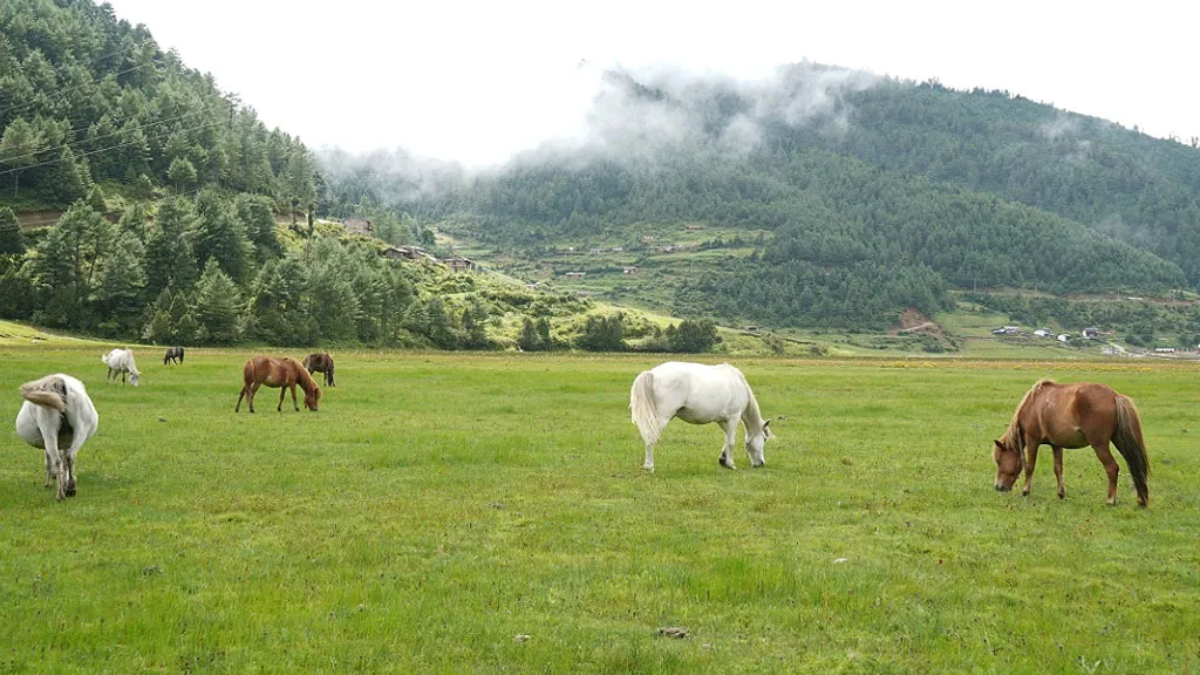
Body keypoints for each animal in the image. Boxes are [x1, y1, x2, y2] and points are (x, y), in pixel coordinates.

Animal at [15, 369, 98, 497]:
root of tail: (60, 382)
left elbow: (49, 461)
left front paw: (49, 482)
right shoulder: (66, 442)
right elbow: (64, 462)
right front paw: (64, 482)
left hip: (49, 432)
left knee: (57, 459)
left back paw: (61, 494)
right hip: (80, 431)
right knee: (70, 457)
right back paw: (69, 489)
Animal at [633, 360, 772, 470]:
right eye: (765, 439)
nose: (761, 463)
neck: (738, 382)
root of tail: (652, 373)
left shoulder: (722, 421)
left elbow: (726, 439)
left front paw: (723, 460)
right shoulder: (734, 417)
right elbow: (731, 441)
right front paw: (731, 464)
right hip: (662, 419)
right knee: (651, 437)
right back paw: (649, 467)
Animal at [993, 379, 1152, 504]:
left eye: (999, 461)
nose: (998, 487)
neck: (1033, 404)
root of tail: (1114, 396)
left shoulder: (1033, 440)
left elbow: (1030, 467)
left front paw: (1025, 491)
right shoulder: (1056, 445)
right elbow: (1058, 469)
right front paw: (1060, 494)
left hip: (1099, 445)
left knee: (1112, 468)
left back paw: (1110, 500)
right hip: (1120, 440)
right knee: (1135, 466)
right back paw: (1141, 501)